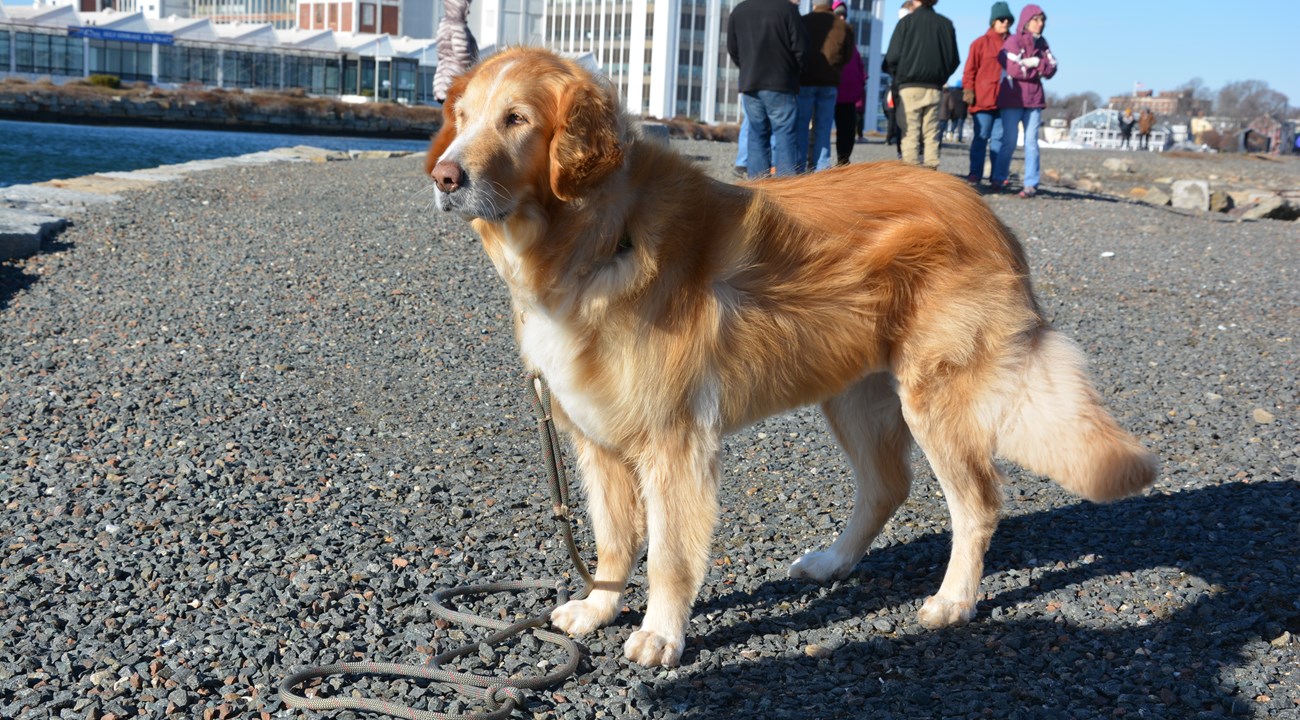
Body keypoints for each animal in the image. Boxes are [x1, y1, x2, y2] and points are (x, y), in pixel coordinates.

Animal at [428, 49, 1159, 665]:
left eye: (517, 119)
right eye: (461, 119)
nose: (444, 175)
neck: (599, 233)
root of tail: (987, 213)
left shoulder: (675, 441)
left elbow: (667, 554)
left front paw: (661, 634)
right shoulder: (595, 437)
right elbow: (612, 539)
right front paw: (599, 608)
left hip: (934, 400)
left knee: (976, 505)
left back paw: (954, 600)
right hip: (854, 394)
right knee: (888, 486)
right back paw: (834, 563)